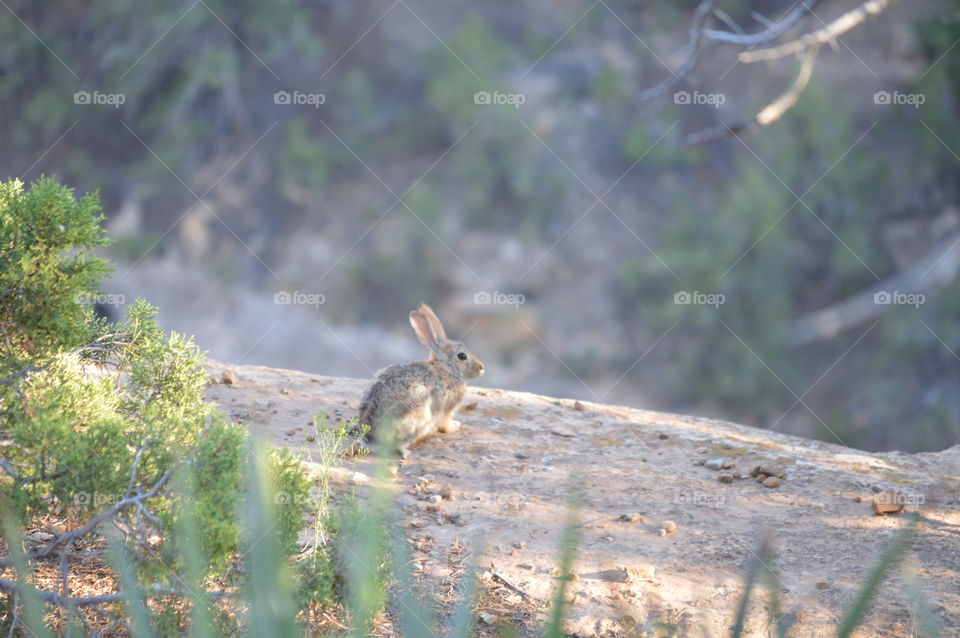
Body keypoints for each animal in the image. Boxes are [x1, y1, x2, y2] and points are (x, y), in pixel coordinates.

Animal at [359, 303, 484, 456]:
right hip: (419, 416)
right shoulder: (448, 409)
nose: (481, 367)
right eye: (462, 356)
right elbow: (446, 424)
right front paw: (455, 426)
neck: (445, 368)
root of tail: (373, 440)